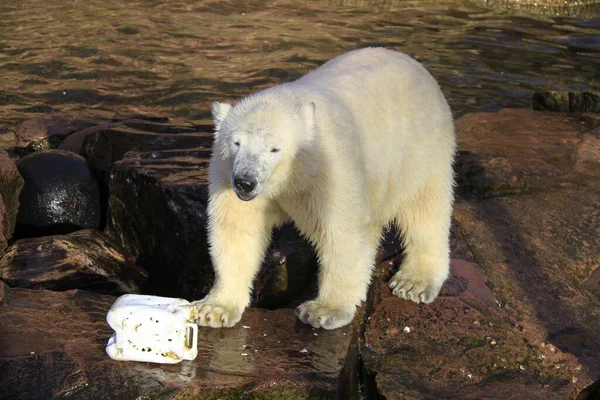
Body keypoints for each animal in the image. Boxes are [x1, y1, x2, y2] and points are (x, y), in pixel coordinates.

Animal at [192, 47, 454, 328]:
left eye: (274, 148)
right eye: (236, 143)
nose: (245, 181)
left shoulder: (330, 170)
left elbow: (342, 232)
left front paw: (323, 311)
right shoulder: (227, 174)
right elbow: (236, 230)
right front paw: (214, 309)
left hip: (418, 150)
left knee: (424, 209)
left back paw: (414, 282)